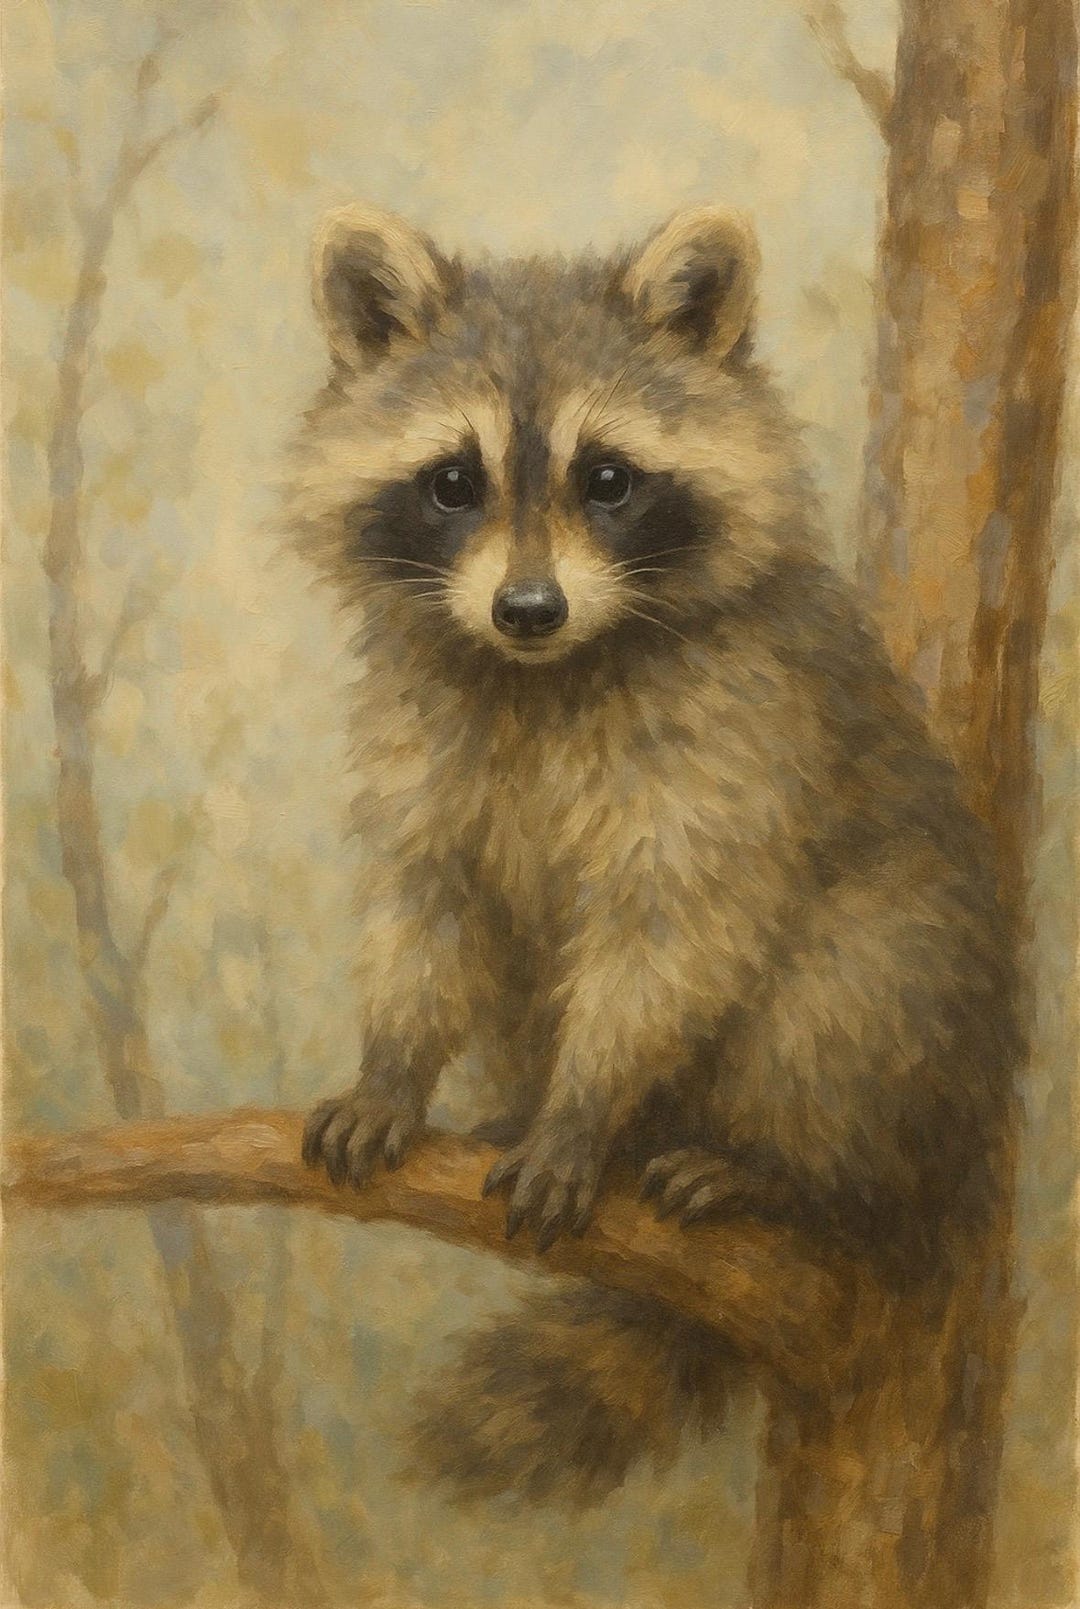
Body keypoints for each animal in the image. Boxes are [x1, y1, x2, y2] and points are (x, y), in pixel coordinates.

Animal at [289, 203, 1019, 1506]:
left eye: (609, 479)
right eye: (453, 482)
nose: (528, 607)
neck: (542, 671)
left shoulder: (731, 740)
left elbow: (674, 929)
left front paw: (586, 1107)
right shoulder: (427, 738)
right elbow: (430, 905)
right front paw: (394, 1065)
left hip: (919, 996)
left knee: (851, 984)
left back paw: (787, 1170)